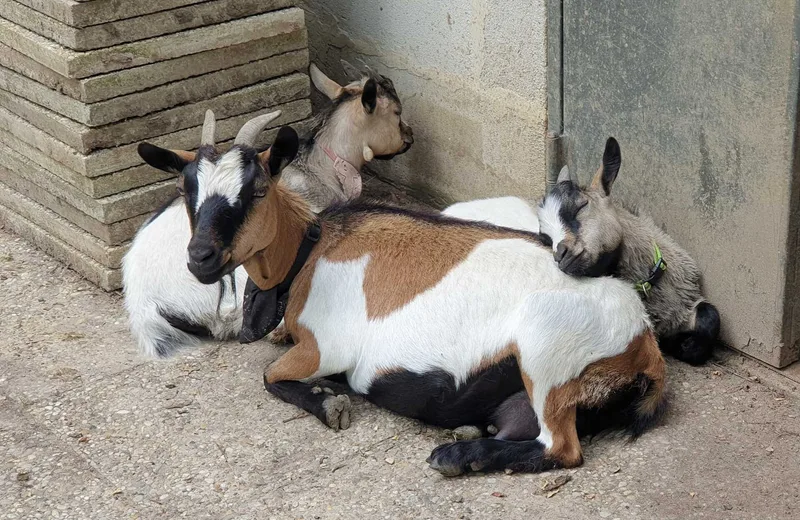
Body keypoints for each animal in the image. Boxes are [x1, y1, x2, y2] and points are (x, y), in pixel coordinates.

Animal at [134, 114, 664, 476]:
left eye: (257, 190)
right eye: (186, 192)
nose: (199, 257)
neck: (311, 249)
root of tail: (644, 343)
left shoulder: (326, 347)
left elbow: (270, 376)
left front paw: (329, 404)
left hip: (545, 353)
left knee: (562, 448)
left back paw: (455, 455)